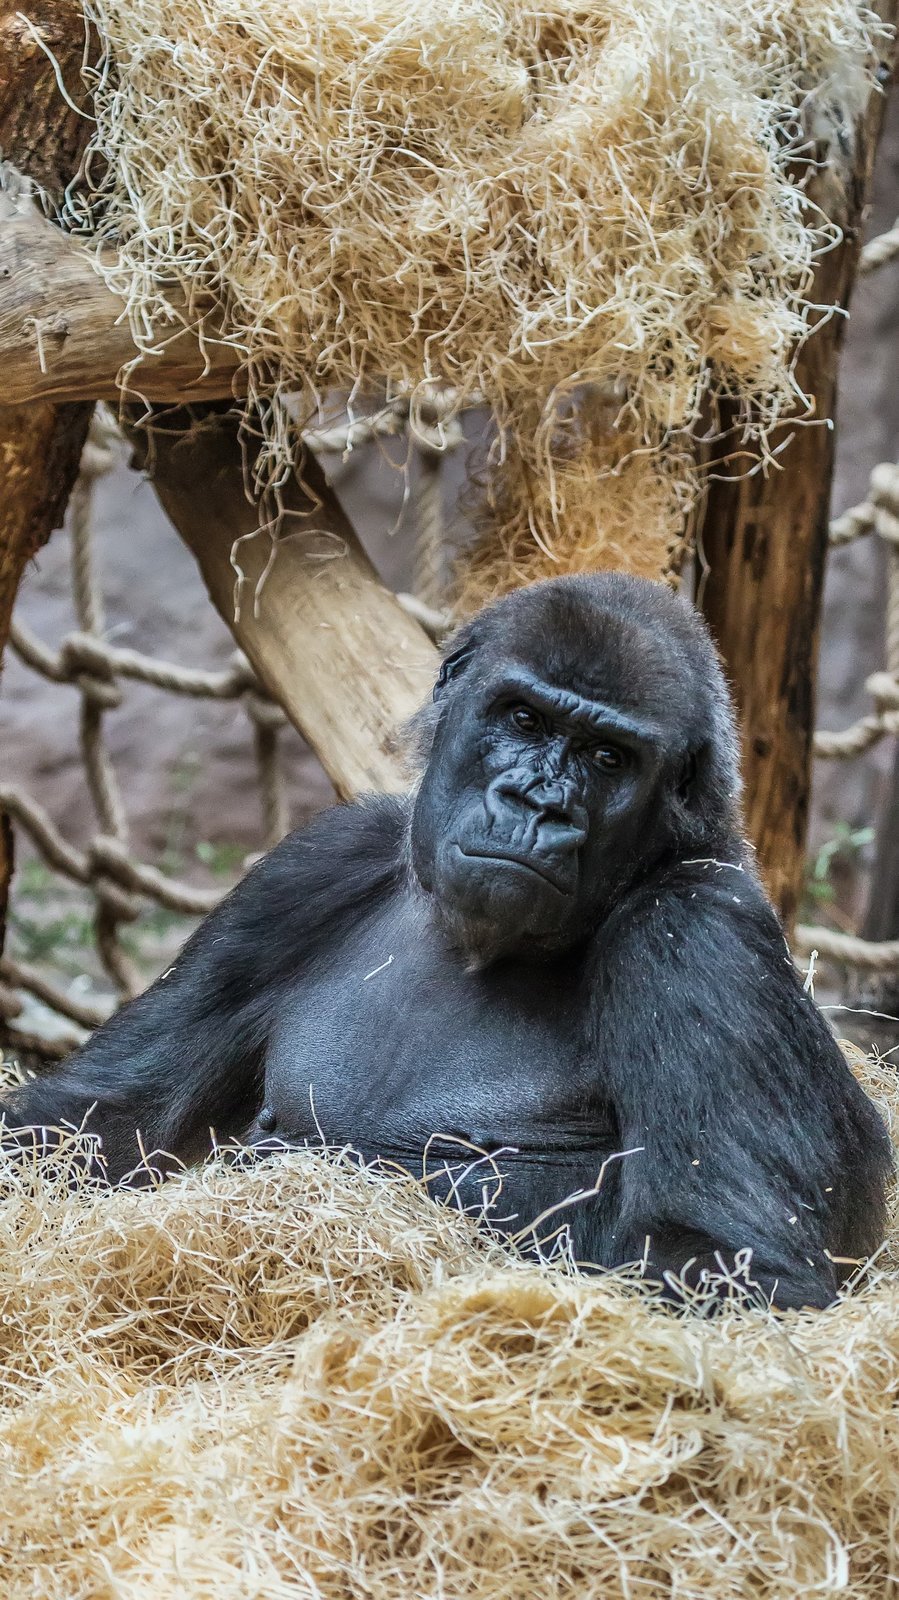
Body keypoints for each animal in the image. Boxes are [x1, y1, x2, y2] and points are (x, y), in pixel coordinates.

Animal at [0, 582, 883, 1305]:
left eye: (608, 757)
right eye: (523, 718)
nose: (535, 803)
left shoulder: (699, 933)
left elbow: (723, 1260)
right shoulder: (308, 868)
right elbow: (91, 1122)